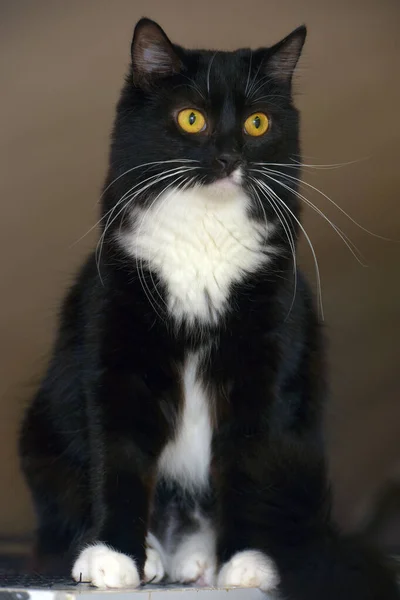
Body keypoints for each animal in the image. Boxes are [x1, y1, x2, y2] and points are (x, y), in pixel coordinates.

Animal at [19, 16, 400, 596]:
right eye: (191, 118)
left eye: (259, 123)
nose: (229, 157)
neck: (203, 241)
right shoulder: (115, 335)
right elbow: (119, 452)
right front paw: (114, 556)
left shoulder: (270, 352)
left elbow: (251, 457)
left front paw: (249, 560)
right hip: (42, 433)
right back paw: (152, 554)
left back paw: (199, 557)